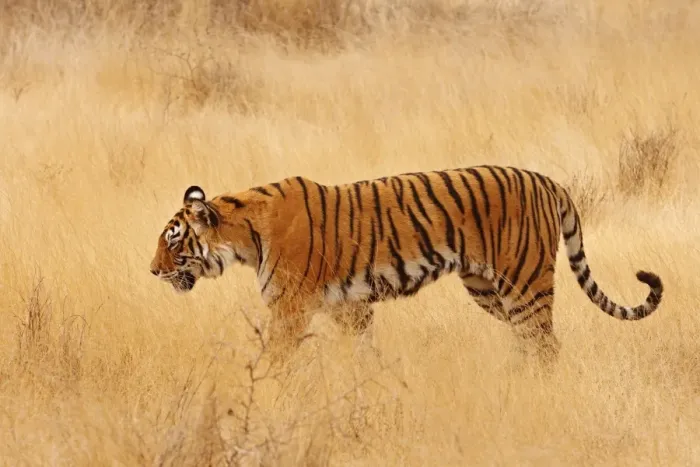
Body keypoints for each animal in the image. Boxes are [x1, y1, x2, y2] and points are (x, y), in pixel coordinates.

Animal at [149, 165, 664, 366]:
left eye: (173, 240)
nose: (152, 271)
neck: (242, 236)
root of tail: (548, 180)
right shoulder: (350, 307)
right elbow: (361, 355)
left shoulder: (289, 309)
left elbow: (275, 359)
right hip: (486, 288)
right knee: (533, 342)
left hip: (524, 282)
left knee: (545, 345)